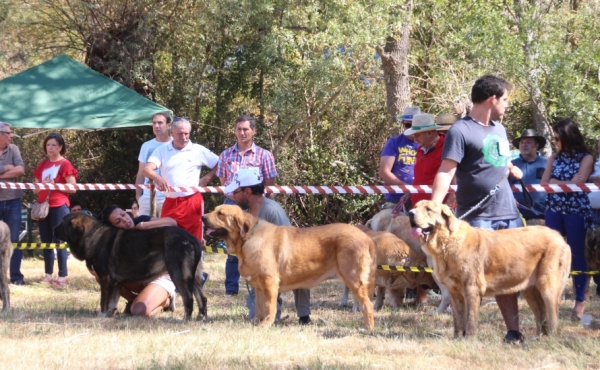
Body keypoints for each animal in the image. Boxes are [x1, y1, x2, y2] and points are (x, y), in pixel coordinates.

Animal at [56, 212, 206, 320]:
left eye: (62, 224)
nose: (53, 229)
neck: (91, 235)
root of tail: (192, 239)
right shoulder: (115, 282)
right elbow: (113, 301)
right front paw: (110, 314)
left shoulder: (105, 278)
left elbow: (104, 300)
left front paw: (102, 315)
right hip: (192, 276)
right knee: (202, 297)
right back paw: (201, 318)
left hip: (178, 273)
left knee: (188, 298)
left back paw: (185, 319)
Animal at [204, 205, 378, 330]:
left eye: (220, 213)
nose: (203, 217)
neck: (247, 239)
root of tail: (366, 237)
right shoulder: (259, 288)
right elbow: (260, 308)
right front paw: (256, 324)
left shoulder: (270, 284)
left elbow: (269, 307)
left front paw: (265, 325)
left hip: (354, 279)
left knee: (367, 305)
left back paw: (367, 329)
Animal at [408, 201, 572, 336]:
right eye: (415, 206)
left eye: (428, 209)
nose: (410, 213)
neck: (446, 242)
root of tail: (560, 237)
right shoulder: (455, 293)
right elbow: (458, 321)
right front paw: (457, 339)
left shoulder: (471, 289)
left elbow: (470, 320)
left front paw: (469, 340)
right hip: (530, 290)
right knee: (541, 315)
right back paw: (538, 338)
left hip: (548, 286)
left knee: (552, 316)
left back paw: (550, 339)